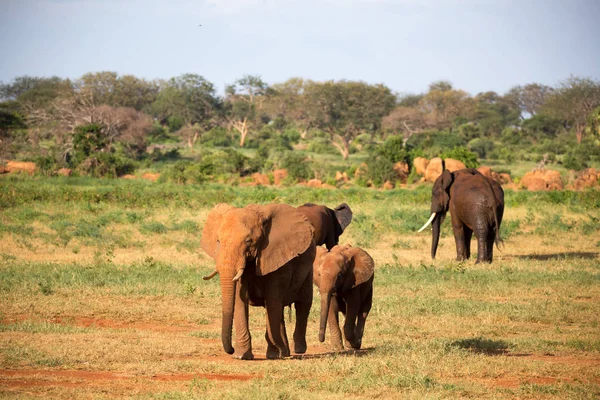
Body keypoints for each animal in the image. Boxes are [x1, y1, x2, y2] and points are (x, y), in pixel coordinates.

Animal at [200, 203, 316, 360]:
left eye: (248, 241)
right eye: (218, 241)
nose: (230, 350)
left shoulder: (277, 255)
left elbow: (272, 299)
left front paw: (274, 354)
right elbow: (239, 299)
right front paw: (241, 356)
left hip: (309, 269)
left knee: (302, 304)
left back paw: (295, 350)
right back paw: (284, 352)